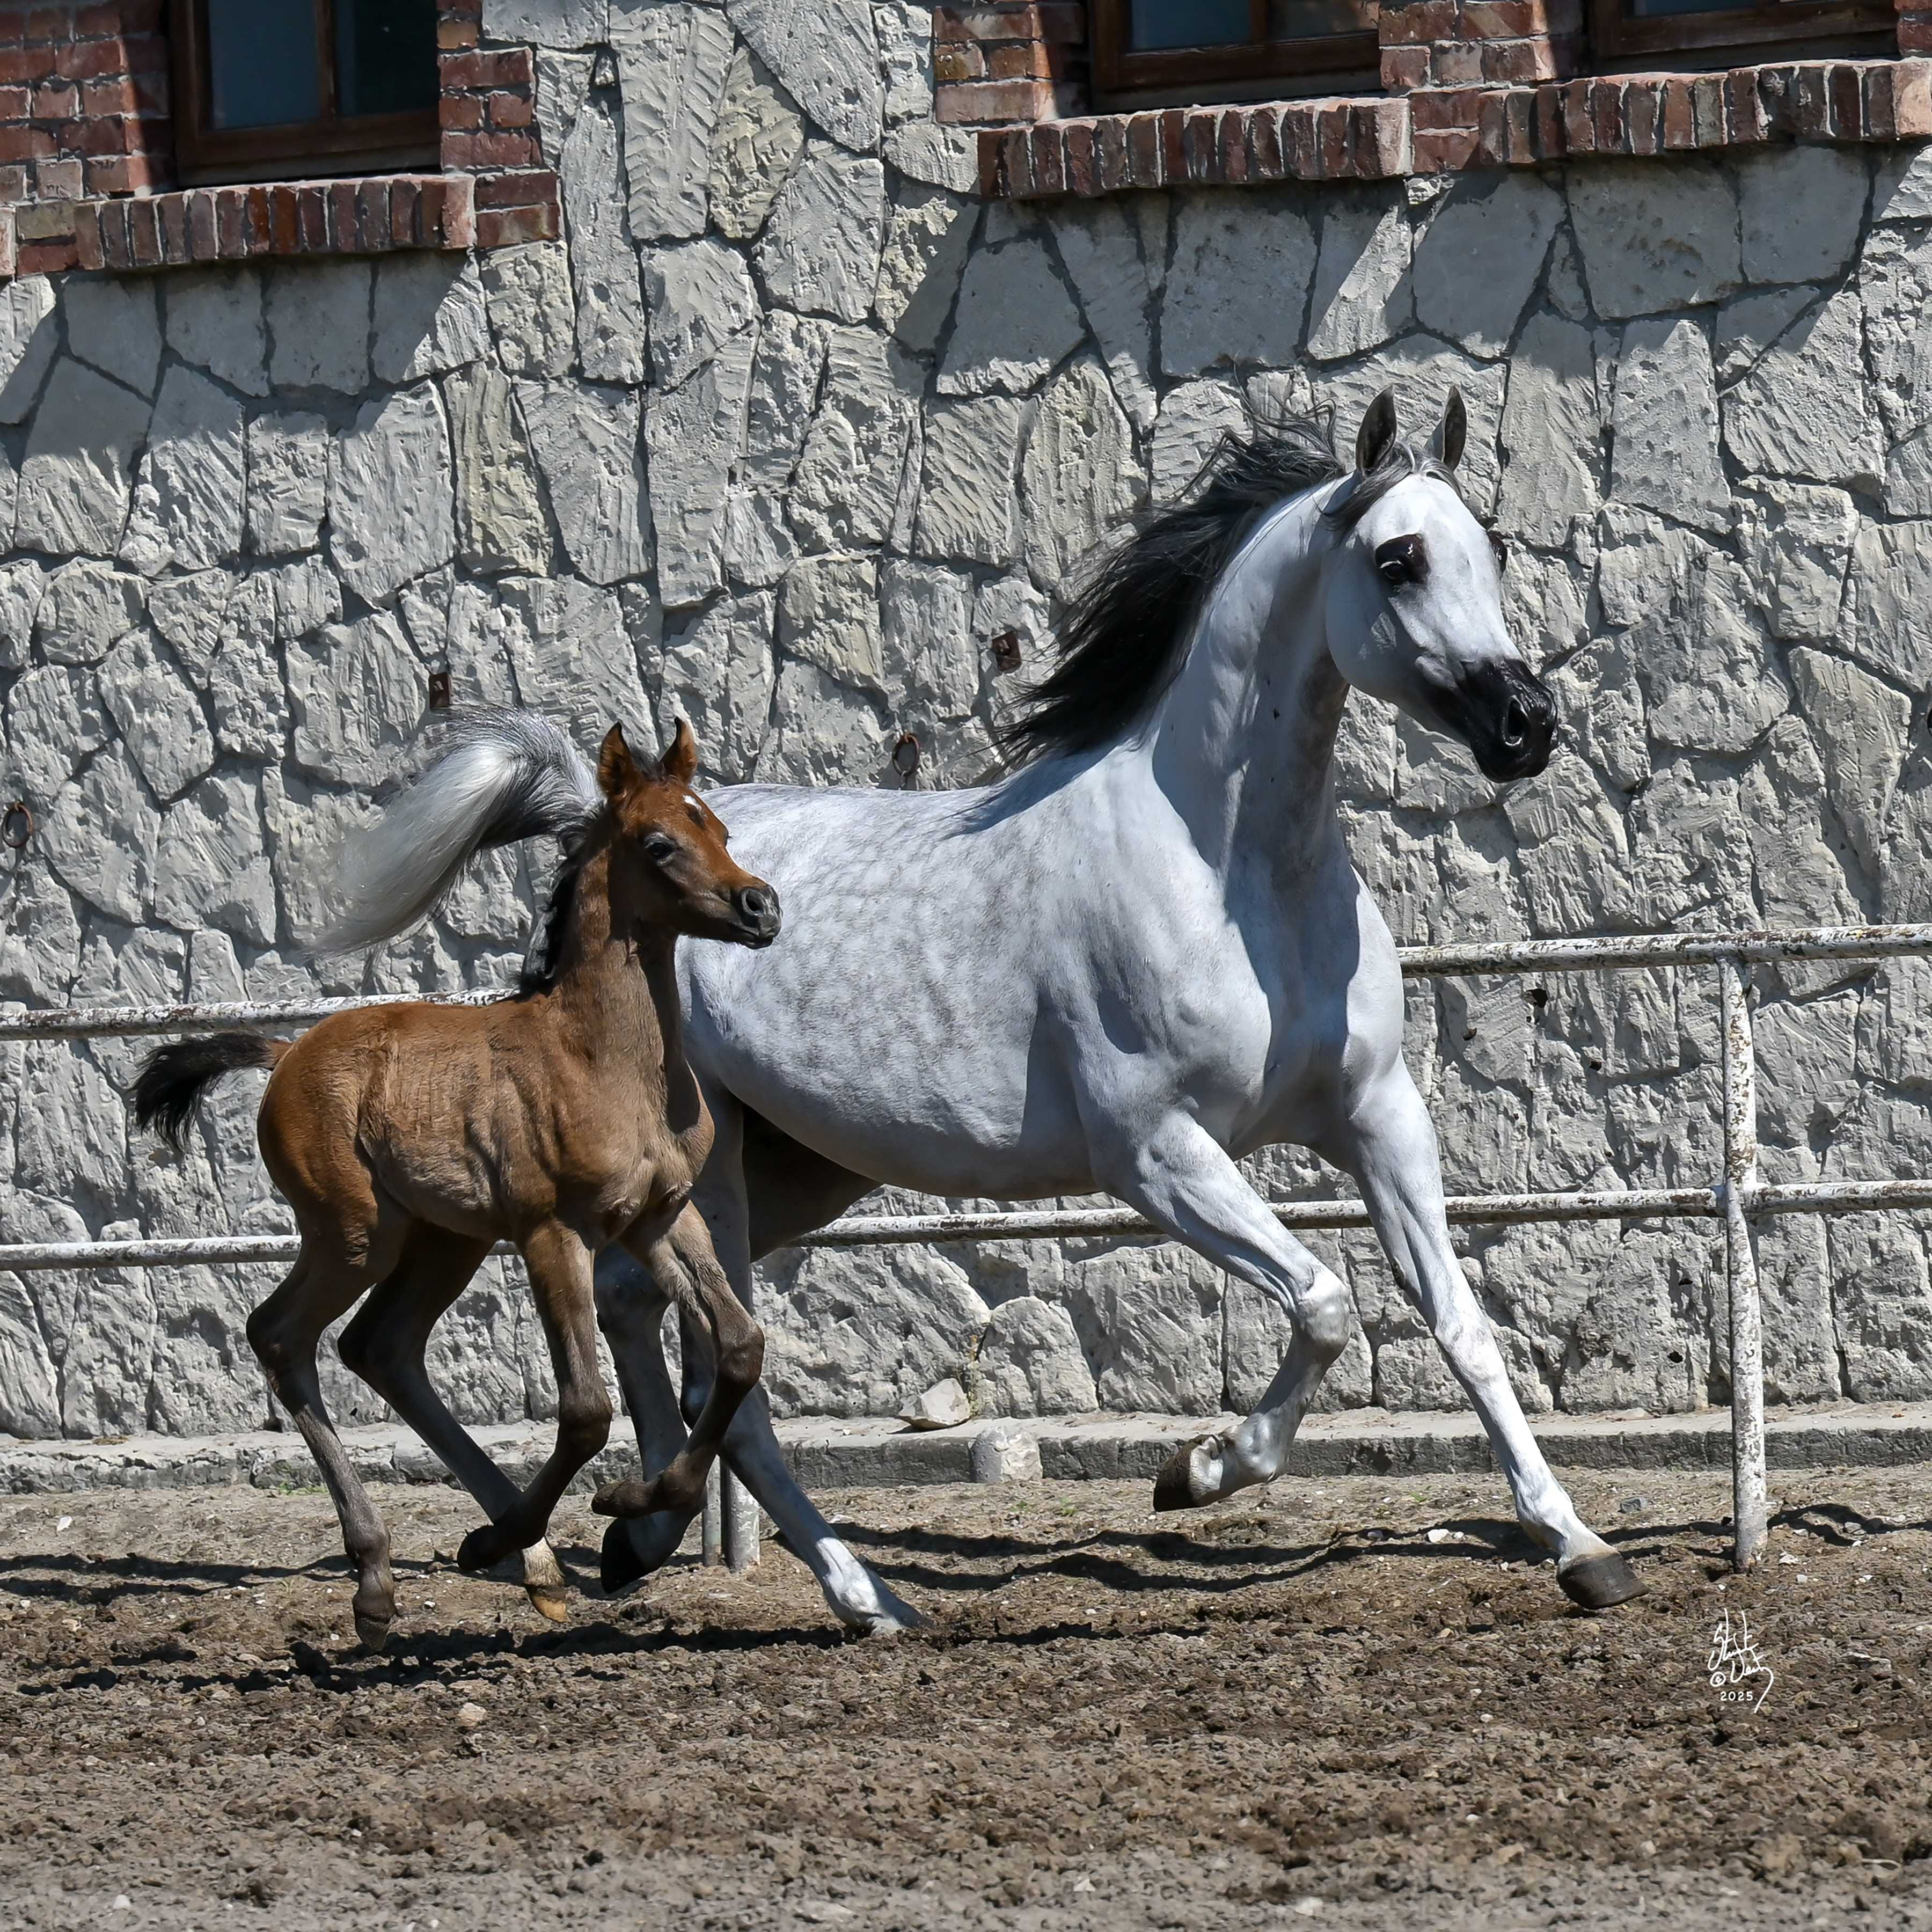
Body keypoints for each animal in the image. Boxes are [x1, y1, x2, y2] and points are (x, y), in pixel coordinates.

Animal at [134, 715, 779, 1650]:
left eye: (720, 829)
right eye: (661, 842)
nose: (762, 907)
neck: (603, 1056)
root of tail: (286, 1054)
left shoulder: (660, 1217)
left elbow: (738, 1347)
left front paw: (634, 1505)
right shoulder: (555, 1233)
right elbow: (586, 1408)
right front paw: (549, 1528)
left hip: (446, 1241)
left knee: (381, 1346)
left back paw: (527, 1564)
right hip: (356, 1235)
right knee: (281, 1334)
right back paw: (388, 1576)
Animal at [361, 387, 1644, 1634]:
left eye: (1492, 550)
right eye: (1399, 559)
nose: (1527, 725)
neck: (1233, 873)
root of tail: (611, 825)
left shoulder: (1380, 1117)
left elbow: (1461, 1325)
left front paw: (1581, 1549)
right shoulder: (1156, 1154)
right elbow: (1327, 1303)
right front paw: (1198, 1471)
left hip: (795, 1170)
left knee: (644, 1307)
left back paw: (658, 1533)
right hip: (714, 1169)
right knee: (736, 1370)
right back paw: (850, 1593)